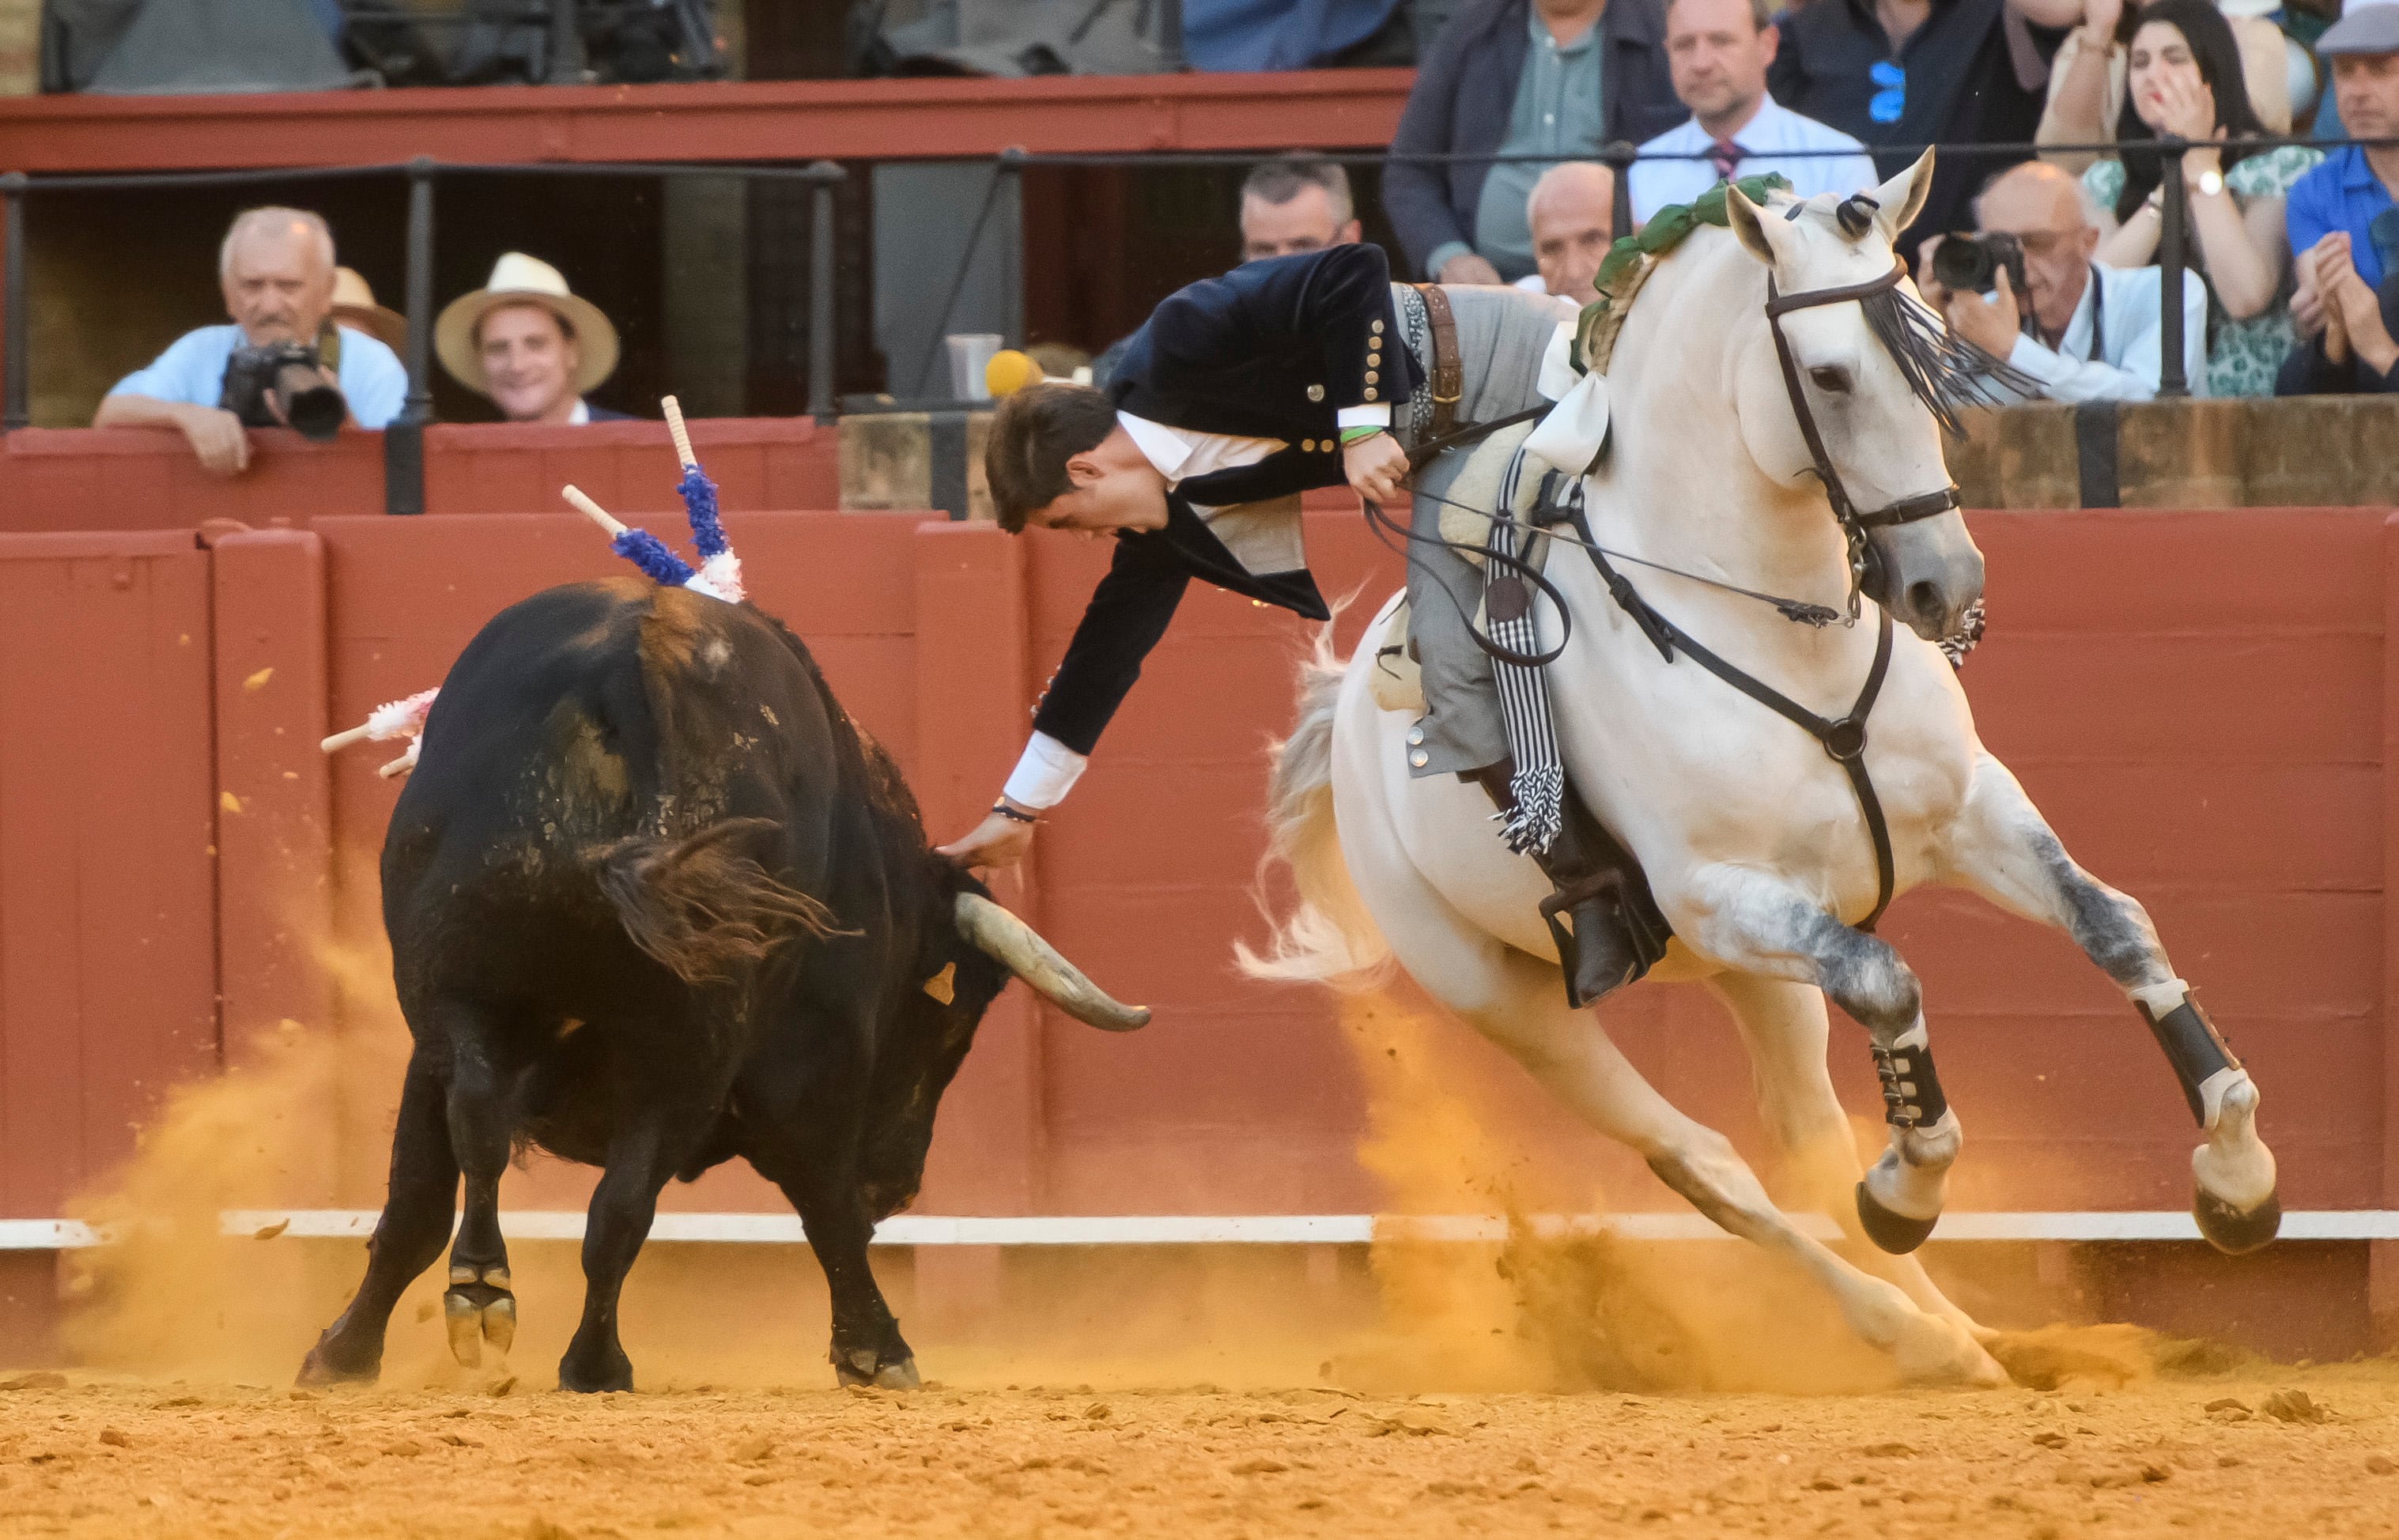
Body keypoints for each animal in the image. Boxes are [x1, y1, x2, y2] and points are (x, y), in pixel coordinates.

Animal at [302, 578, 1151, 1391]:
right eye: (954, 1026)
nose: (900, 1189)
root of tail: (635, 666)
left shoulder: (435, 1036)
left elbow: (419, 1194)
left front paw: (343, 1357)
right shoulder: (817, 1059)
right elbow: (825, 1198)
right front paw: (877, 1351)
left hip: (460, 986)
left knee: (484, 1126)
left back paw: (483, 1291)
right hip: (690, 1042)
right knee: (624, 1206)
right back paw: (592, 1363)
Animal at [1247, 156, 2274, 1381]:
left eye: (1937, 349)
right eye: (1827, 375)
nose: (1945, 585)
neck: (1786, 626)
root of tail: (1351, 711)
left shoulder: (1968, 816)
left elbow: (2113, 923)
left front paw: (2237, 1181)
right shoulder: (1715, 891)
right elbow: (1890, 981)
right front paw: (1908, 1192)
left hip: (1753, 972)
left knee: (1803, 1138)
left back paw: (1974, 1339)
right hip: (1508, 996)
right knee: (1708, 1164)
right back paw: (1908, 1334)